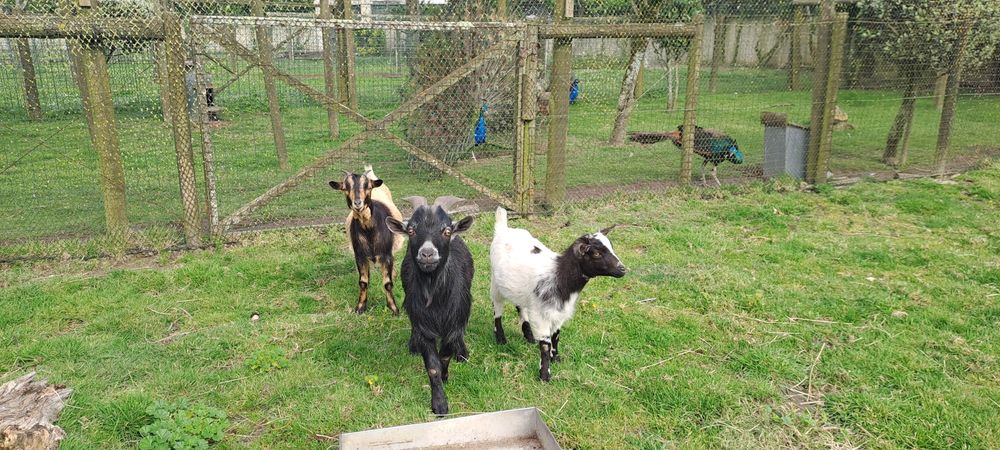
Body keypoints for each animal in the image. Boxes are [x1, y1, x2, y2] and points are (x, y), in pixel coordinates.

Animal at [329, 166, 404, 315]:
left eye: (368, 187)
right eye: (345, 187)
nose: (358, 203)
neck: (369, 229)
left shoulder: (386, 255)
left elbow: (388, 283)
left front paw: (394, 309)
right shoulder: (360, 255)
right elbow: (363, 282)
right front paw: (360, 307)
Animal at [386, 205, 474, 415]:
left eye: (446, 231)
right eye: (411, 231)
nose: (427, 254)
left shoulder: (453, 323)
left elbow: (445, 356)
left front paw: (446, 376)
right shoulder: (423, 324)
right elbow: (432, 366)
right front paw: (439, 404)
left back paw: (462, 353)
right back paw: (413, 345)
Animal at [490, 207, 626, 382]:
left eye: (611, 247)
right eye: (595, 254)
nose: (622, 269)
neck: (559, 276)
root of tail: (503, 229)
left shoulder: (558, 313)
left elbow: (556, 337)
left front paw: (556, 359)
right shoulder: (542, 315)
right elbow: (545, 345)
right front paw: (544, 374)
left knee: (520, 306)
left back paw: (528, 335)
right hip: (496, 284)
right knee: (497, 309)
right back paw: (501, 338)